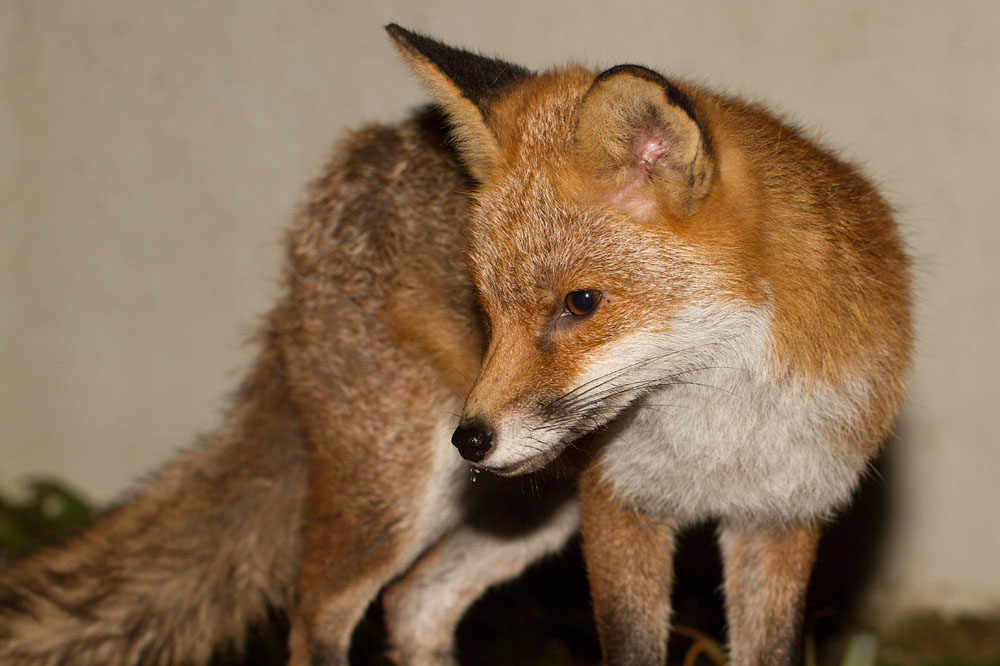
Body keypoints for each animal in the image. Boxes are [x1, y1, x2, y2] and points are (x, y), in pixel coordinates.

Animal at [0, 24, 911, 666]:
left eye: (581, 304)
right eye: (486, 310)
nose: (469, 438)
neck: (720, 424)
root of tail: (348, 162)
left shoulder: (781, 518)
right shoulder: (622, 510)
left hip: (525, 510)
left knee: (415, 602)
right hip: (395, 495)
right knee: (321, 610)